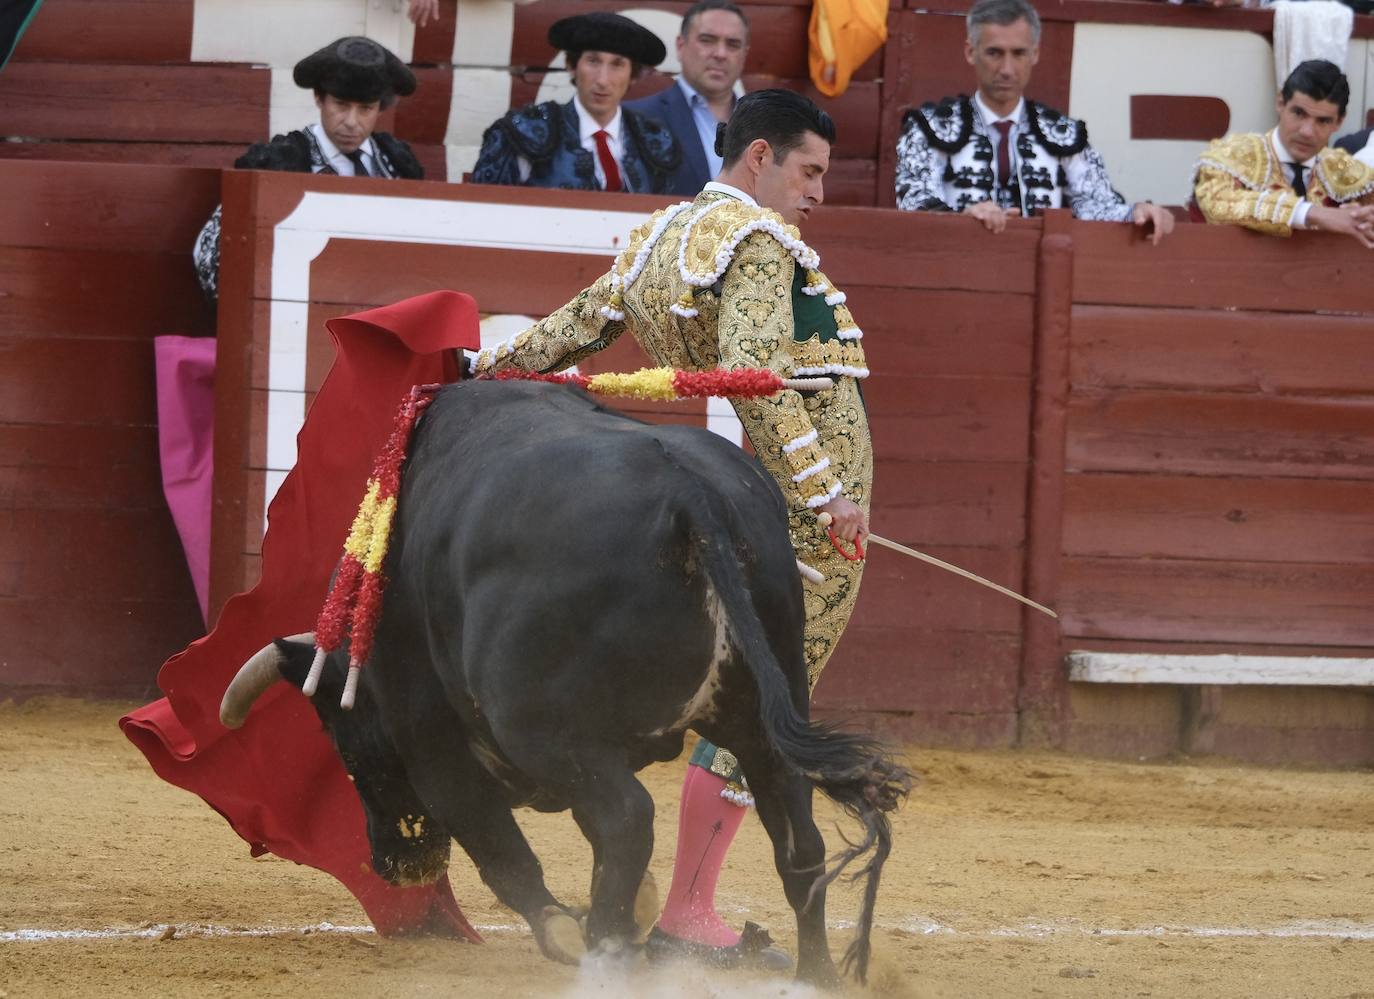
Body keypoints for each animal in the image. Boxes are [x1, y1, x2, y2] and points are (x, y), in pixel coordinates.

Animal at [222, 382, 912, 983]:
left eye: (344, 745)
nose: (394, 867)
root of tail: (690, 496)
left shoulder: (436, 744)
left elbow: (499, 848)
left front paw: (564, 929)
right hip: (763, 711)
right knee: (796, 841)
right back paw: (812, 975)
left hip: (548, 733)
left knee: (629, 819)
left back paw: (603, 952)